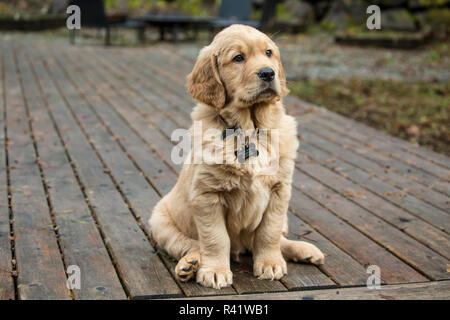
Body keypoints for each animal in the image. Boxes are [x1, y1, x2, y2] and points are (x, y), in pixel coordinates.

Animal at [150, 25, 324, 290]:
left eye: (269, 53)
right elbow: (215, 238)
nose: (268, 73)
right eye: (238, 58)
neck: (250, 129)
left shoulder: (280, 191)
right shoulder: (207, 195)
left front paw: (270, 263)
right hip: (159, 221)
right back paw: (190, 264)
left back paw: (304, 250)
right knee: (188, 244)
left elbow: (269, 233)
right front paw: (215, 271)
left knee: (278, 238)